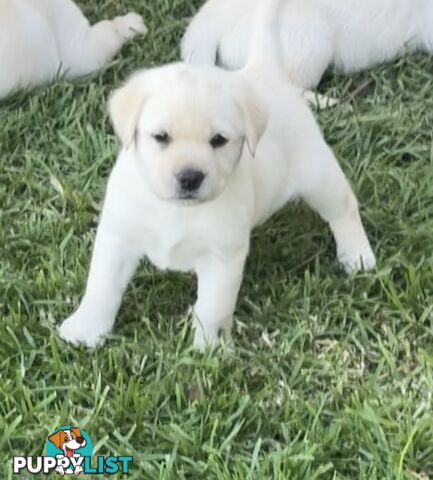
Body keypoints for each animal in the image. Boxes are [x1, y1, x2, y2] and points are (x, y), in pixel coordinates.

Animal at [57, 0, 374, 348]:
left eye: (219, 140)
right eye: (161, 137)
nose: (190, 177)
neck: (174, 210)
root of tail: (264, 70)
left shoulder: (222, 257)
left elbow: (212, 306)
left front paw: (208, 348)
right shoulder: (117, 237)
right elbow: (101, 287)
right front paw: (85, 330)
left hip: (319, 177)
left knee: (344, 211)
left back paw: (358, 255)